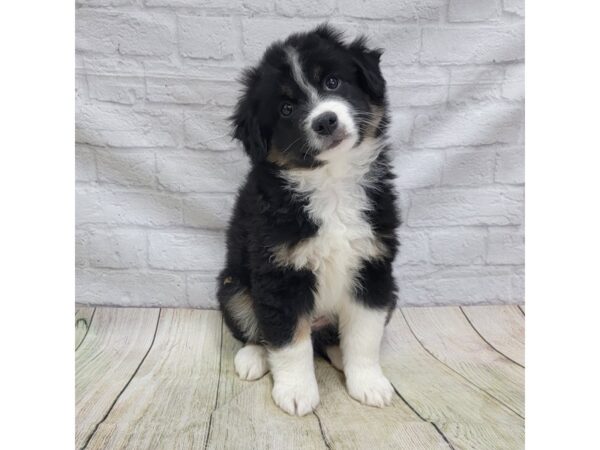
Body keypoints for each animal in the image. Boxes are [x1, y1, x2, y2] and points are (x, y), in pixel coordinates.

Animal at [216, 24, 398, 416]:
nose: (325, 120)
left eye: (332, 81)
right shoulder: (280, 274)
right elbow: (288, 342)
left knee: (331, 338)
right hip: (233, 285)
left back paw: (339, 355)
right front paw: (297, 392)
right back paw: (253, 358)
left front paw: (368, 383)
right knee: (259, 330)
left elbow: (364, 337)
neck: (331, 183)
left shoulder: (373, 269)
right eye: (286, 108)